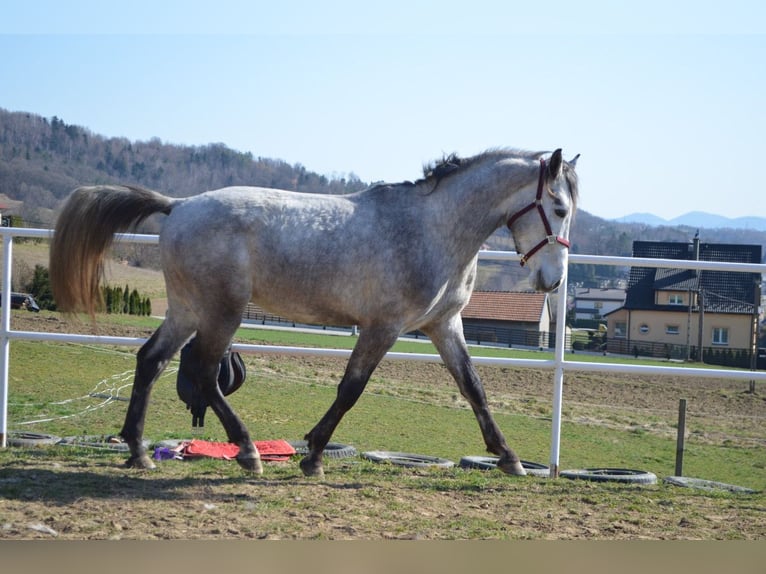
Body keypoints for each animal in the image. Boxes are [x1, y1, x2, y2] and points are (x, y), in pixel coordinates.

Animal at [49, 147, 579, 477]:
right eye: (558, 207)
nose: (552, 281)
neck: (432, 229)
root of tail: (179, 205)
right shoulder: (383, 326)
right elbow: (350, 390)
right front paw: (314, 455)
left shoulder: (442, 325)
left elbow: (474, 387)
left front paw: (508, 458)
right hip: (221, 312)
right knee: (201, 373)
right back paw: (247, 452)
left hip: (188, 309)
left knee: (152, 361)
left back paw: (139, 452)